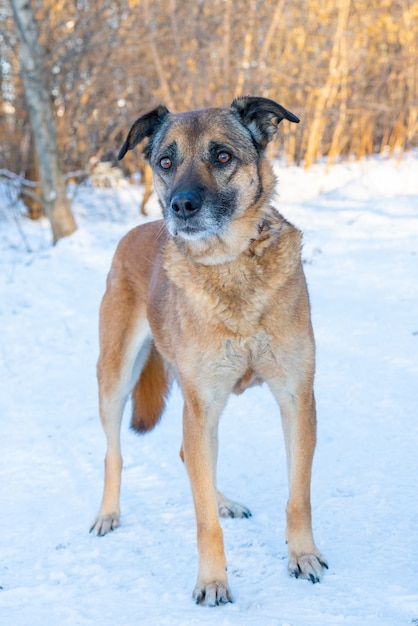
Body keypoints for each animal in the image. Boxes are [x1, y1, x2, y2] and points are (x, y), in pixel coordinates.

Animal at [90, 97, 326, 604]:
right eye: (165, 162)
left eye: (222, 156)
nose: (181, 205)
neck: (230, 265)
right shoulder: (202, 406)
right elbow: (203, 521)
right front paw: (213, 581)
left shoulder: (296, 398)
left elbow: (298, 496)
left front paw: (303, 556)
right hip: (117, 377)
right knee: (115, 453)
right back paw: (107, 513)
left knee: (189, 457)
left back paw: (225, 501)